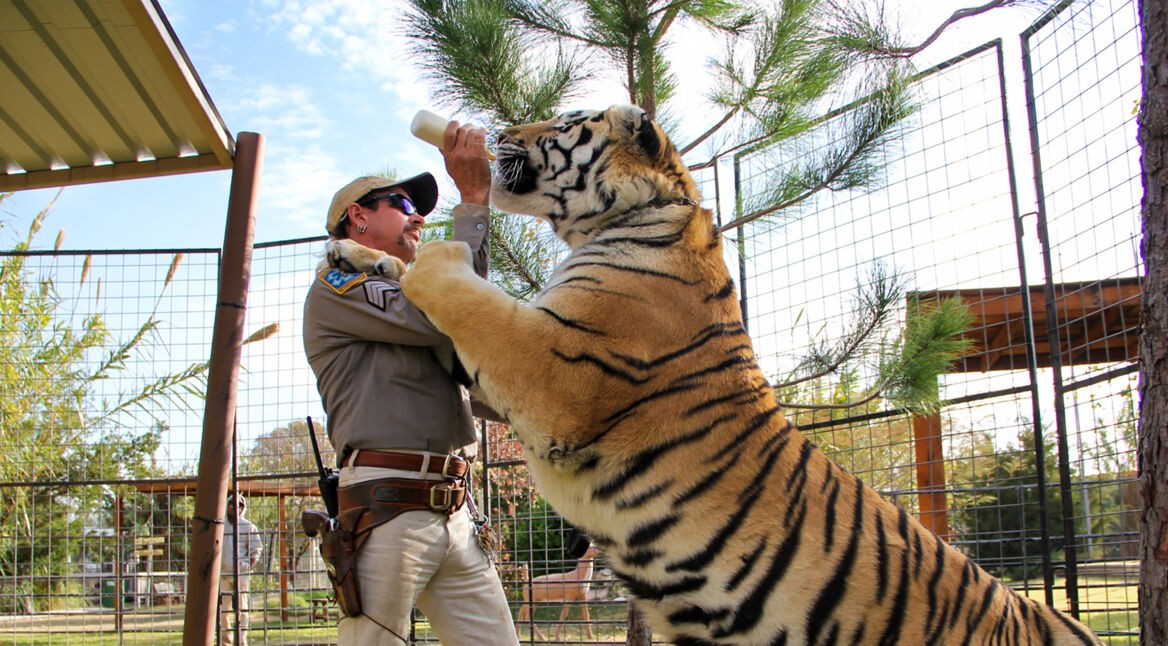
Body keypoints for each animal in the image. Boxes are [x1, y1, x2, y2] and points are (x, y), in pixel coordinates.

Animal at [327, 104, 1100, 645]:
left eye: (566, 122)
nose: (501, 132)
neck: (629, 216)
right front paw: (352, 252)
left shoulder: (555, 369)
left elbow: (462, 291)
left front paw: (429, 254)